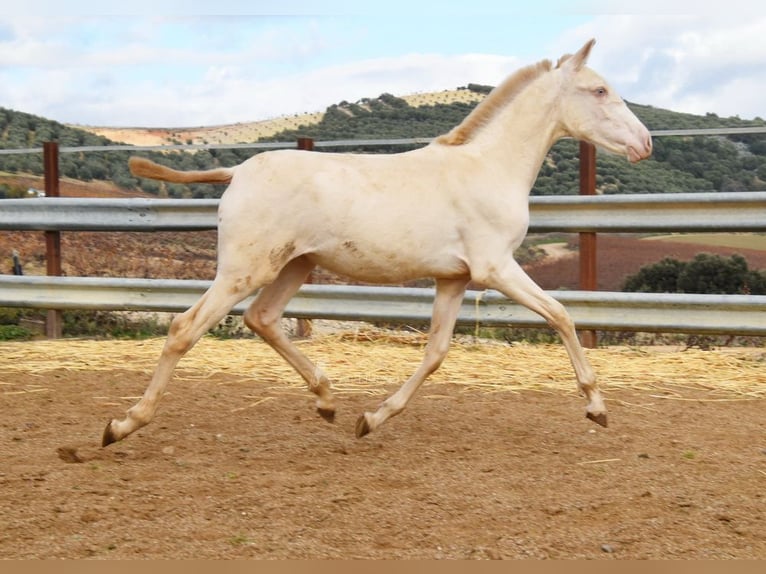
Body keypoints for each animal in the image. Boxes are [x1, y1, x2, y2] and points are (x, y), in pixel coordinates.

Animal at [102, 39, 656, 450]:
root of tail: (237, 171)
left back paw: (327, 400)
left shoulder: (454, 278)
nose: (645, 143)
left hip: (294, 267)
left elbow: (435, 353)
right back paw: (121, 425)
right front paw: (597, 408)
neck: (488, 168)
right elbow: (562, 315)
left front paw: (371, 418)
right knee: (184, 328)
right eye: (600, 89)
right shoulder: (496, 268)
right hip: (245, 270)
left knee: (262, 319)